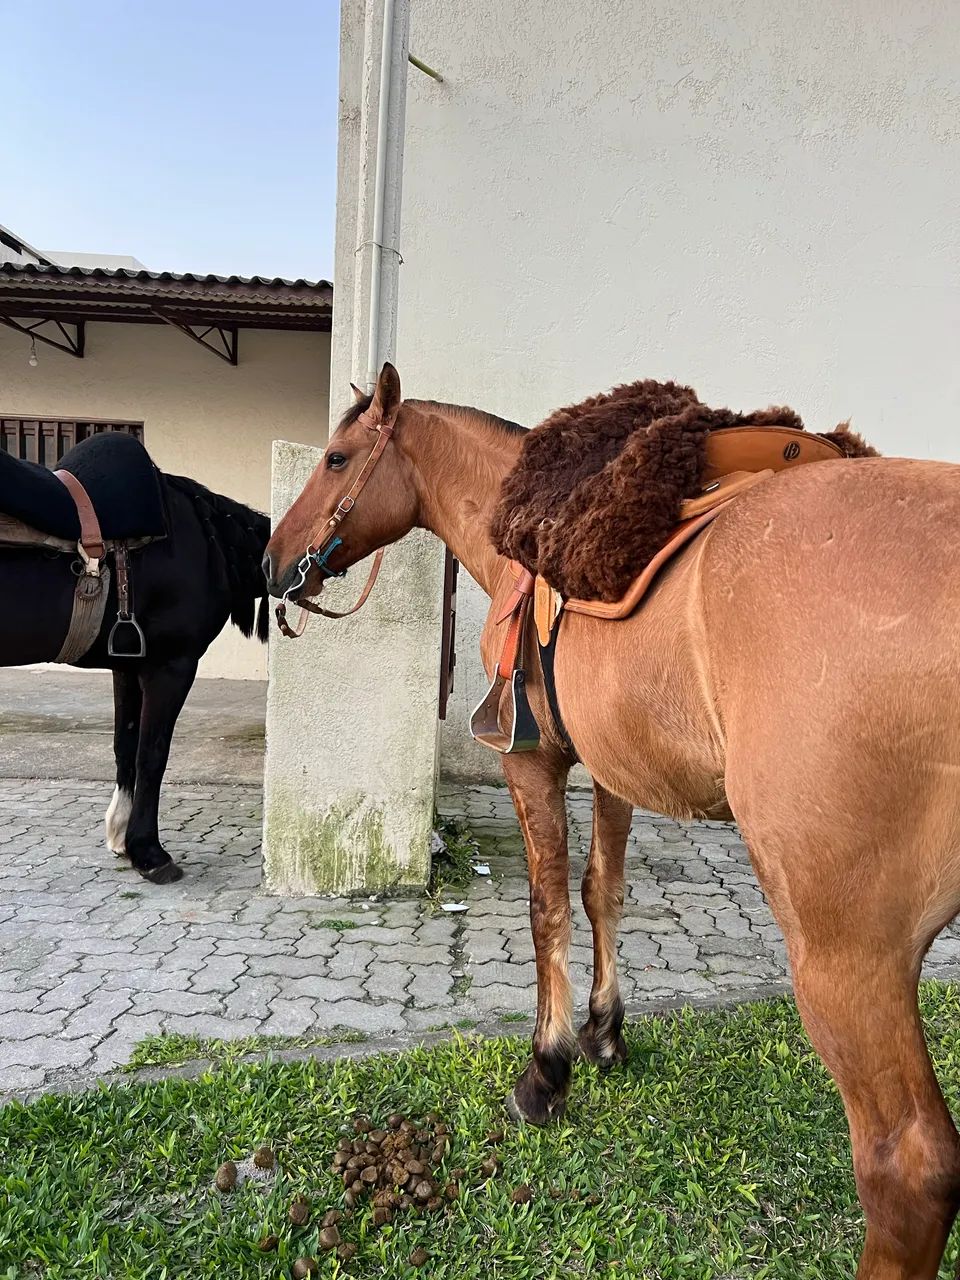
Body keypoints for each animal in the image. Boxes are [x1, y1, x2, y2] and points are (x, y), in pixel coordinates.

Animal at [2, 467, 270, 884]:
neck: (210, 540)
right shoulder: (170, 666)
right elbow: (152, 754)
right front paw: (148, 852)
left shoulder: (127, 666)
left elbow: (125, 747)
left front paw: (120, 835)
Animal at [264, 363, 960, 1278]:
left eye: (338, 458)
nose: (274, 562)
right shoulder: (613, 766)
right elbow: (604, 892)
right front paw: (603, 1031)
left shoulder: (532, 764)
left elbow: (549, 907)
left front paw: (547, 1069)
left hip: (847, 952)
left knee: (907, 1166)